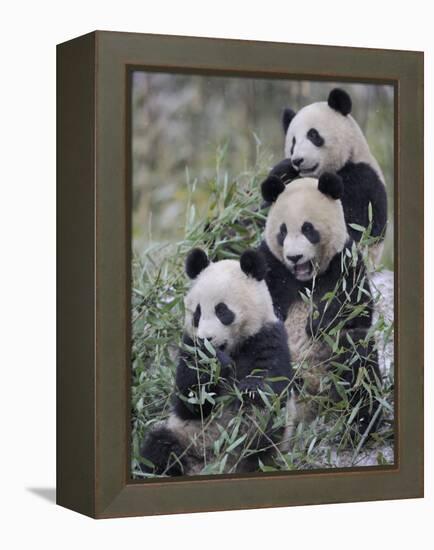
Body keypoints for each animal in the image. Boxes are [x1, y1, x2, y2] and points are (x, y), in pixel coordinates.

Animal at [139, 250, 294, 478]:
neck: (232, 348)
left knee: (264, 430)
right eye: (197, 313)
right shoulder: (189, 347)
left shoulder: (268, 336)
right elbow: (191, 399)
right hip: (183, 435)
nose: (206, 339)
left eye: (222, 311)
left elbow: (272, 380)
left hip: (268, 445)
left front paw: (249, 389)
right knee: (157, 448)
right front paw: (215, 365)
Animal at [260, 175, 382, 438]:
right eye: (283, 231)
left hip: (334, 363)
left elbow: (357, 308)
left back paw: (360, 427)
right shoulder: (270, 264)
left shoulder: (345, 262)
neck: (305, 280)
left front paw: (315, 322)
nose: (294, 257)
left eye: (308, 229)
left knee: (359, 361)